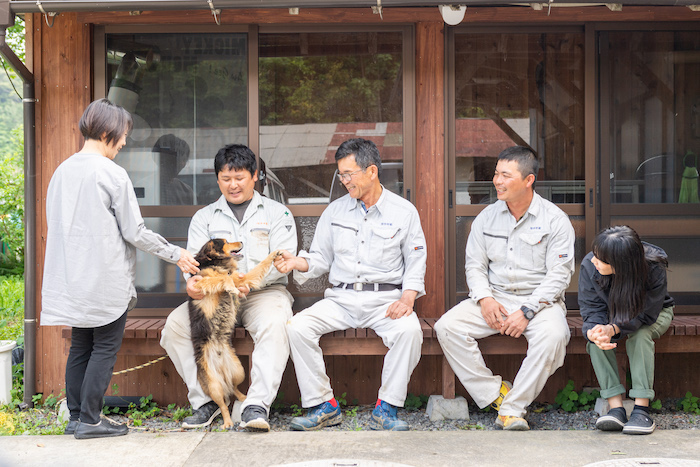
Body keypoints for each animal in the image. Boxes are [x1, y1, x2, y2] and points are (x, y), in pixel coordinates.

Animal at [190, 239, 284, 430]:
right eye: (226, 242)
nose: (241, 241)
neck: (217, 263)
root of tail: (220, 366)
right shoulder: (199, 283)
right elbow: (221, 278)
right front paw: (228, 287)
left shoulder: (242, 279)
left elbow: (259, 266)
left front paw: (274, 255)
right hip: (214, 385)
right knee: (223, 404)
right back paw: (227, 423)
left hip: (238, 370)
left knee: (233, 388)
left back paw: (245, 398)